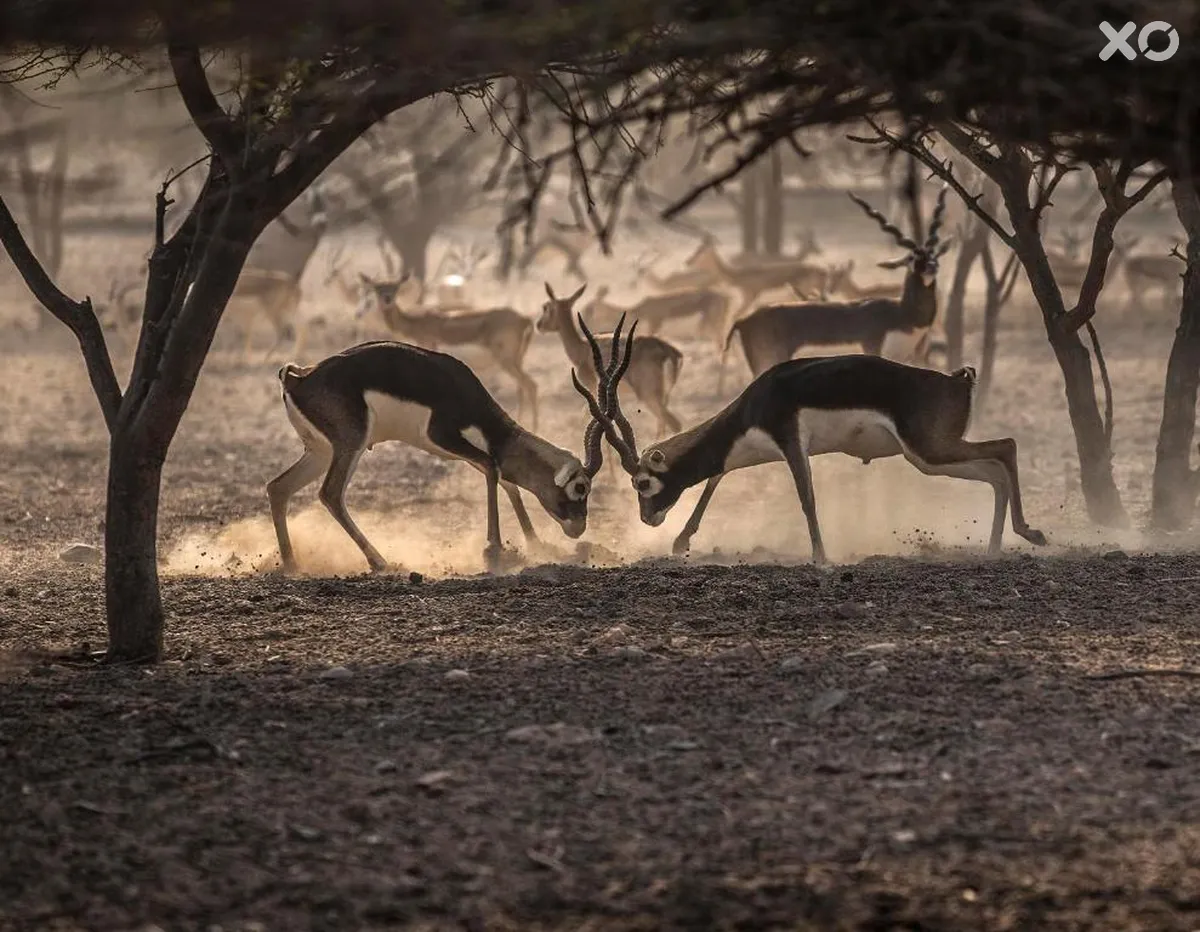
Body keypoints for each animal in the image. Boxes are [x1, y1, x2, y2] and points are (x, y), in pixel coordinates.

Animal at [265, 319, 638, 578]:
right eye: (581, 487)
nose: (578, 527)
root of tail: (298, 377)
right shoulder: (443, 436)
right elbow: (493, 468)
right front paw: (495, 550)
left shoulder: (464, 448)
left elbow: (506, 480)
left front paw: (536, 545)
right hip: (350, 445)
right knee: (329, 494)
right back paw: (380, 561)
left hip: (320, 451)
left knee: (277, 487)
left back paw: (292, 565)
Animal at [350, 268, 540, 429]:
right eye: (377, 288)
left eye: (395, 288)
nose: (387, 299)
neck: (414, 323)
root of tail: (524, 319)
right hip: (517, 360)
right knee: (523, 387)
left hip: (507, 361)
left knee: (530, 384)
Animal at [537, 281, 686, 434]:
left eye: (546, 307)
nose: (539, 325)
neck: (582, 349)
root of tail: (668, 350)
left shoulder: (591, 386)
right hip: (663, 397)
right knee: (663, 424)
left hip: (649, 396)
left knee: (673, 423)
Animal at [720, 187, 955, 383]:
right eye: (912, 258)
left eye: (934, 255)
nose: (931, 267)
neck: (902, 314)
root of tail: (743, 321)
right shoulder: (873, 350)